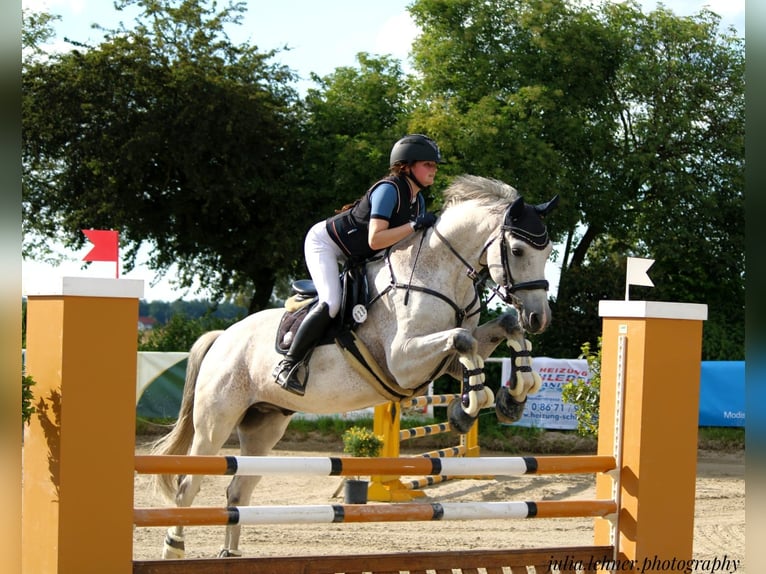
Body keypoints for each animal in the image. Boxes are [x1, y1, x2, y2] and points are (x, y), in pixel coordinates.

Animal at [152, 174, 560, 560]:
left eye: (548, 252)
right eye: (518, 249)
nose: (540, 318)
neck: (440, 276)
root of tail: (222, 337)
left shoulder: (442, 364)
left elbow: (499, 330)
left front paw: (511, 397)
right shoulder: (403, 362)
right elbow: (463, 339)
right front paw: (471, 407)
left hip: (264, 426)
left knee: (239, 488)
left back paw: (230, 553)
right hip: (215, 422)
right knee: (189, 485)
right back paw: (174, 547)